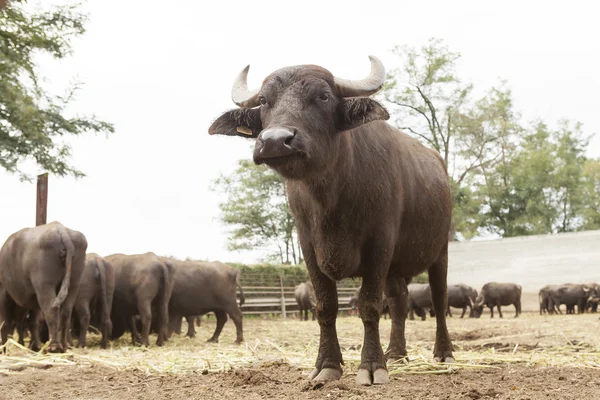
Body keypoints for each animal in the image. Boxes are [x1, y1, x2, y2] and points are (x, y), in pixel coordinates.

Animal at [0, 222, 88, 354]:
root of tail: (61, 230)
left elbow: (6, 322)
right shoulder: (33, 297)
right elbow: (33, 322)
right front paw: (34, 345)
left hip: (45, 286)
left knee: (51, 311)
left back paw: (54, 347)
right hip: (73, 284)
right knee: (65, 312)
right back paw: (63, 346)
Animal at [209, 54, 452, 384]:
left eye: (323, 96)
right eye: (263, 101)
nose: (274, 141)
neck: (330, 200)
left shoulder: (380, 243)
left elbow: (369, 305)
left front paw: (372, 366)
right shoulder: (308, 245)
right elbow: (325, 306)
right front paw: (327, 365)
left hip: (440, 252)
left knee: (439, 299)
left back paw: (443, 352)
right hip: (395, 267)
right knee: (399, 302)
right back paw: (396, 353)